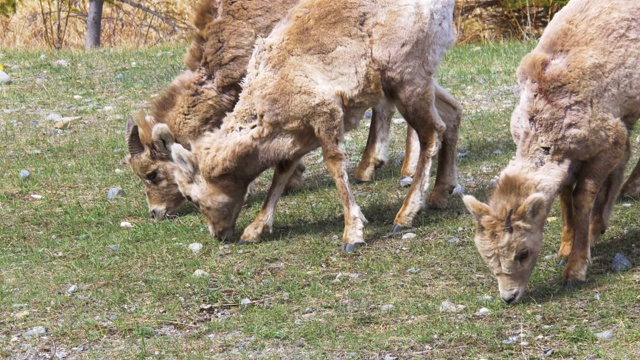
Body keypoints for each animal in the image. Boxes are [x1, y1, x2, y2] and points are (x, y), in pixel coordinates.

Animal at [152, 0, 458, 250]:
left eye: (190, 197)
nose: (218, 235)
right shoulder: (296, 135)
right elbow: (281, 174)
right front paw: (254, 230)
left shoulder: (325, 115)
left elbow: (334, 166)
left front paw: (352, 234)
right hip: (419, 82)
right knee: (453, 113)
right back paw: (440, 195)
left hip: (406, 80)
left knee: (432, 133)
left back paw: (405, 216)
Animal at [464, 0, 640, 304]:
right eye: (486, 256)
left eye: (522, 253)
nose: (509, 297)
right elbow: (565, 196)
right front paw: (566, 250)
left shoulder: (606, 142)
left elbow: (582, 198)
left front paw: (575, 269)